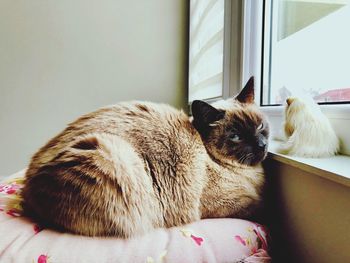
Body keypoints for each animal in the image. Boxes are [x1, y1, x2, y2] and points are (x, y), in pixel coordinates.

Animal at [20, 77, 270, 239]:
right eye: (235, 136)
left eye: (260, 127)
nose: (261, 145)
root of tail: (27, 190)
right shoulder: (229, 204)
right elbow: (261, 208)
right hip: (114, 156)